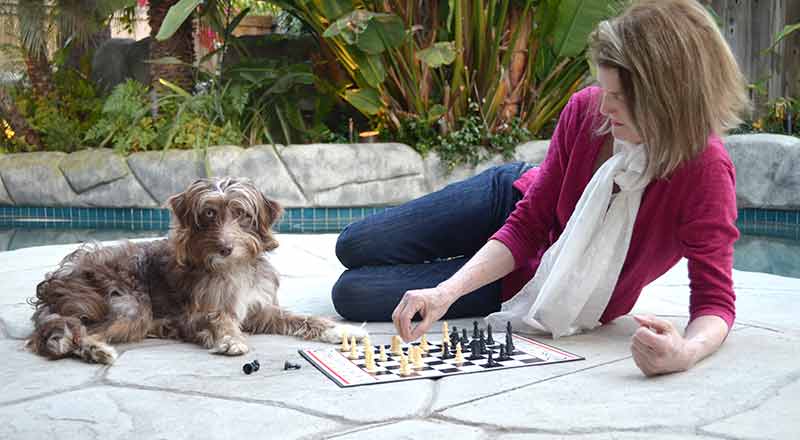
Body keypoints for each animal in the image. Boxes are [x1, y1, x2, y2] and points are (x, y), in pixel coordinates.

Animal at [24, 176, 362, 364]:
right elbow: (218, 318)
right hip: (128, 305)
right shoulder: (196, 312)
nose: (226, 247)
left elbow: (299, 318)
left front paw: (339, 330)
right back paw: (96, 350)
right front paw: (230, 339)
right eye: (209, 214)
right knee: (67, 334)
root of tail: (55, 282)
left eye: (241, 214)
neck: (233, 268)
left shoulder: (260, 308)